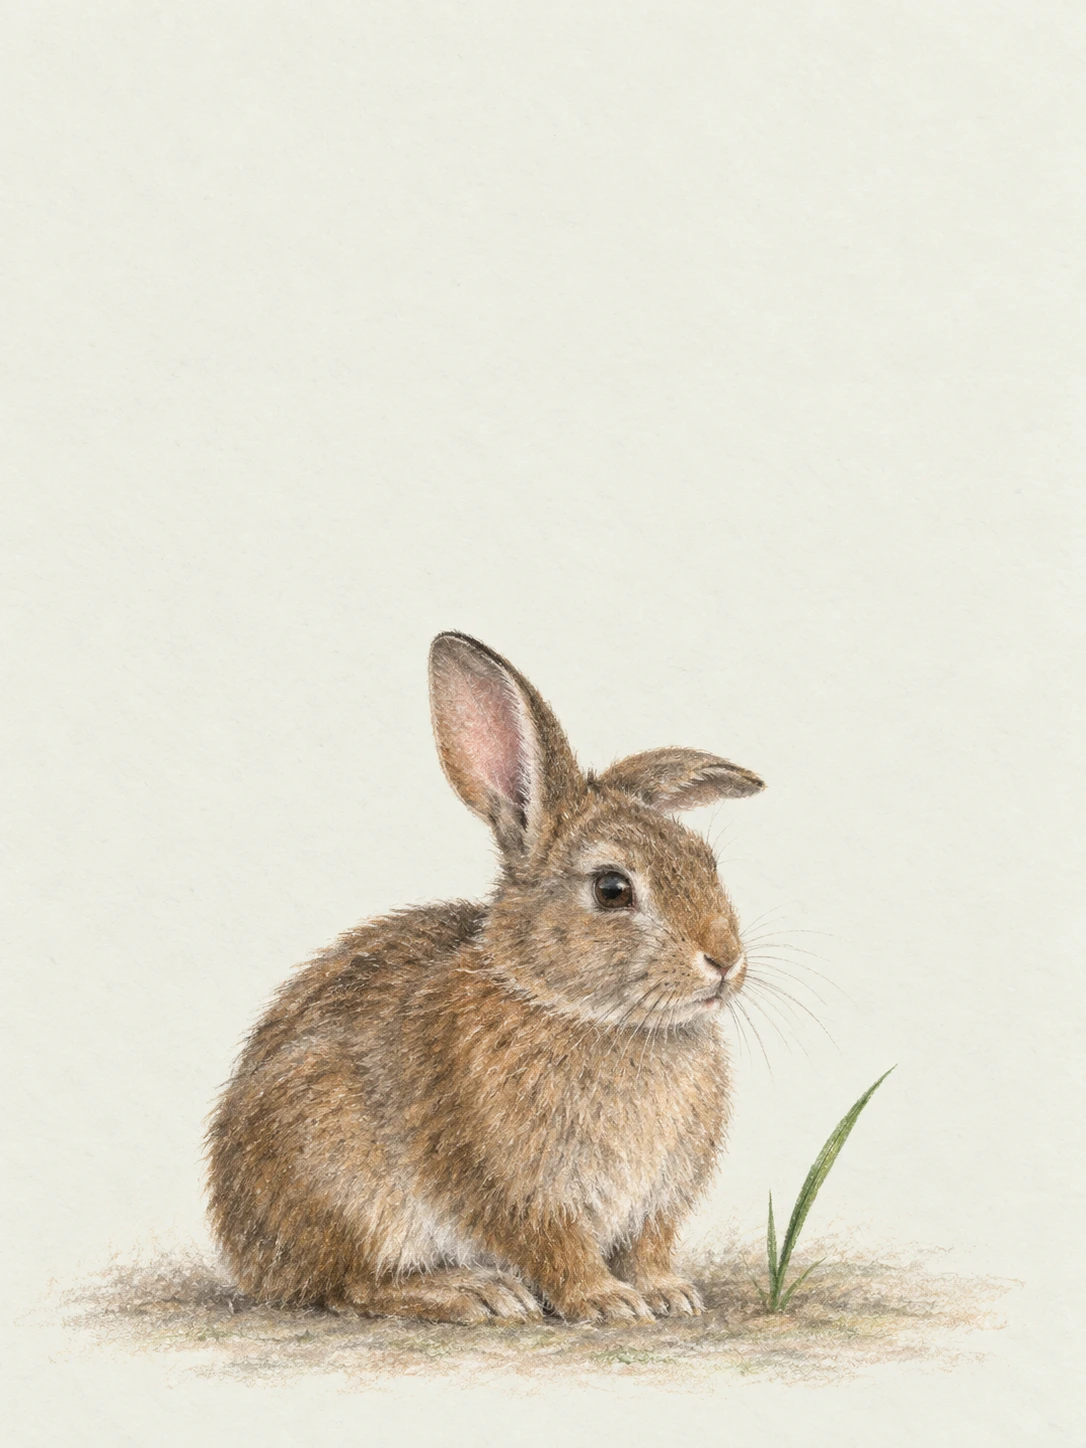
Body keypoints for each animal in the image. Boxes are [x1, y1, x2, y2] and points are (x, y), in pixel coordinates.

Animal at [206, 632, 765, 1325]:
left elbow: (647, 1247)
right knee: (350, 1284)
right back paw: (472, 1292)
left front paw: (669, 1293)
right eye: (612, 889)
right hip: (335, 1168)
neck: (573, 1006)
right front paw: (608, 1302)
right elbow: (558, 1251)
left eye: (706, 860)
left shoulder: (655, 1202)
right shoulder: (521, 1190)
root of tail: (244, 1250)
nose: (725, 958)